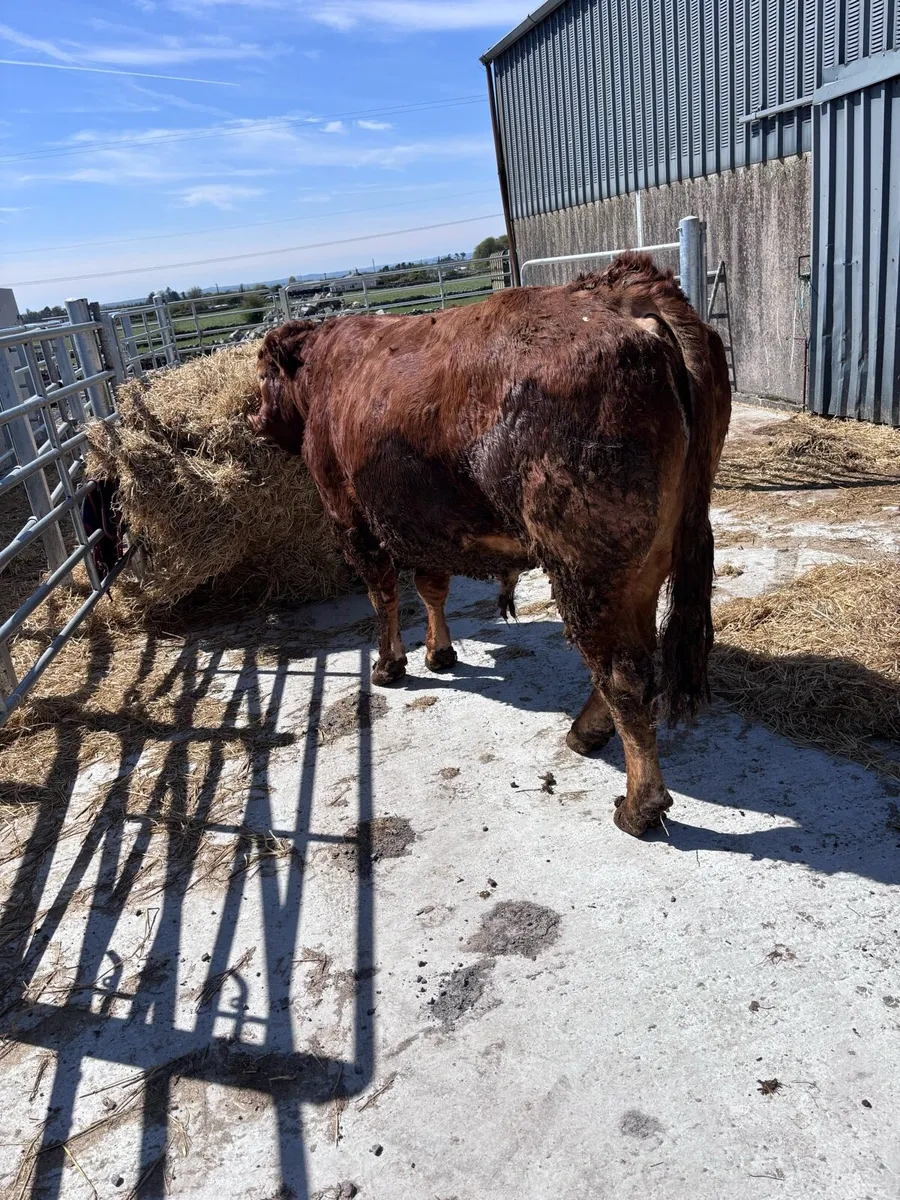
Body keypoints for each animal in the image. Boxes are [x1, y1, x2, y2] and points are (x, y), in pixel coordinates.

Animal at [250, 253, 731, 837]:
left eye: (262, 372)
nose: (253, 417)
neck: (327, 372)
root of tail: (623, 292)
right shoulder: (429, 527)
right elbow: (431, 587)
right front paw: (439, 652)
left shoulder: (352, 520)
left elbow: (384, 597)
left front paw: (390, 665)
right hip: (642, 565)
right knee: (629, 657)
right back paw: (586, 733)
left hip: (585, 567)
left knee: (623, 673)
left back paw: (639, 805)